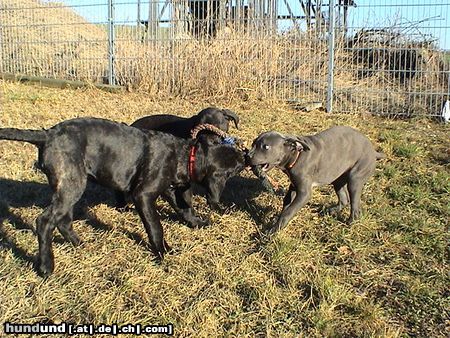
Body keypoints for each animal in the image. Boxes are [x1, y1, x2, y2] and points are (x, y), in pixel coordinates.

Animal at [0, 117, 246, 276]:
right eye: (235, 167)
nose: (245, 155)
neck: (186, 154)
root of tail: (47, 134)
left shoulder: (168, 189)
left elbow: (184, 208)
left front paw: (197, 222)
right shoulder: (143, 195)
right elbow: (156, 227)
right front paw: (163, 251)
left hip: (71, 186)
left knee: (62, 220)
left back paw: (79, 244)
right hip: (72, 185)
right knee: (44, 221)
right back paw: (46, 266)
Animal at [248, 125, 384, 234]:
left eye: (266, 147)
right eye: (253, 143)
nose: (247, 155)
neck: (297, 155)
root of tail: (373, 151)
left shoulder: (304, 193)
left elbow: (289, 212)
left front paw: (273, 231)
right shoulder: (294, 186)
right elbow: (286, 204)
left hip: (355, 179)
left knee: (355, 208)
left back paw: (350, 224)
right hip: (337, 179)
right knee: (344, 199)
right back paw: (332, 210)